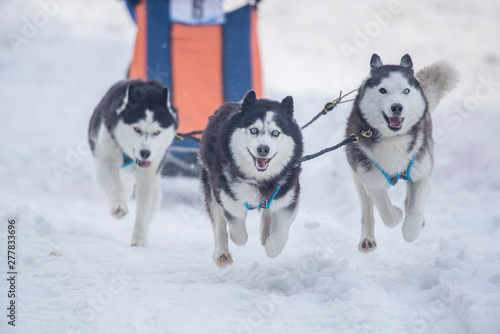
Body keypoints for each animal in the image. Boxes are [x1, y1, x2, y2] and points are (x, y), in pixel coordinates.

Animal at [88, 79, 178, 247]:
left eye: (157, 132)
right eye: (137, 129)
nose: (145, 153)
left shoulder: (149, 176)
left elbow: (144, 209)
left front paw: (139, 239)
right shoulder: (105, 160)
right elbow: (115, 184)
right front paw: (118, 205)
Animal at [198, 90, 300, 268]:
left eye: (275, 132)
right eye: (253, 130)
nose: (263, 149)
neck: (259, 181)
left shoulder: (288, 196)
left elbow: (279, 237)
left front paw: (270, 244)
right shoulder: (226, 196)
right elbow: (238, 233)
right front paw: (234, 234)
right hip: (211, 184)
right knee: (218, 224)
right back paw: (222, 253)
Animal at [346, 54, 458, 250]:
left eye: (406, 91)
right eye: (383, 90)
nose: (396, 107)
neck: (393, 139)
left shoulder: (423, 172)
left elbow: (415, 210)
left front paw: (410, 230)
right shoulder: (370, 179)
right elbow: (387, 215)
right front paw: (397, 214)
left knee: (410, 199)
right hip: (358, 175)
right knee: (367, 210)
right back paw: (367, 238)